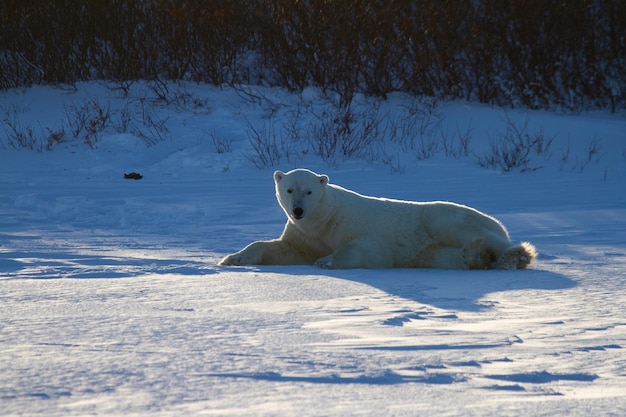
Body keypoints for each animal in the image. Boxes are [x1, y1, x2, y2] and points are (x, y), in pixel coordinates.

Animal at [217, 168, 532, 270]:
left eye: (309, 191)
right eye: (289, 189)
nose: (298, 211)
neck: (324, 218)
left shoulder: (352, 223)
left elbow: (365, 248)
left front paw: (326, 261)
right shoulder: (305, 236)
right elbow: (285, 250)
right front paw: (233, 258)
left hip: (441, 219)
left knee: (463, 228)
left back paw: (514, 255)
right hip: (431, 252)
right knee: (447, 257)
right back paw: (477, 257)